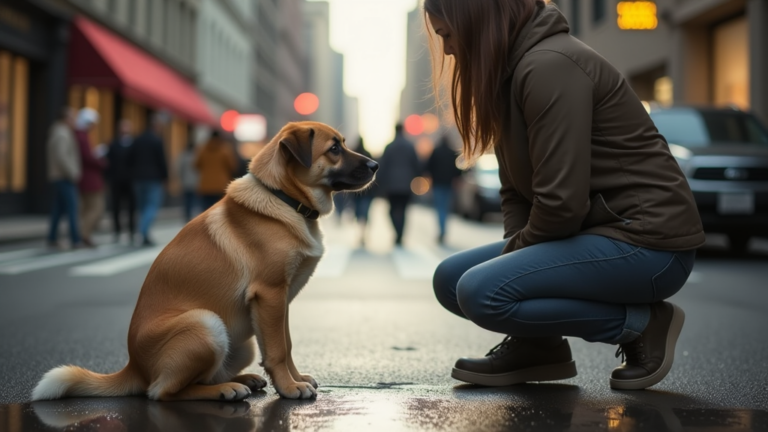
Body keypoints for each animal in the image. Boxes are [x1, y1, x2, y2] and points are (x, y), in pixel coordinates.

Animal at [32, 120, 378, 402]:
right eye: (334, 149)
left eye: (343, 143)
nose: (376, 165)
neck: (284, 198)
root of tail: (134, 368)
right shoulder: (270, 294)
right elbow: (279, 350)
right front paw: (290, 388)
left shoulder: (279, 303)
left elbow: (286, 344)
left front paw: (294, 378)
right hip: (206, 325)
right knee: (163, 392)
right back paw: (226, 390)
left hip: (241, 340)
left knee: (201, 377)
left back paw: (244, 379)